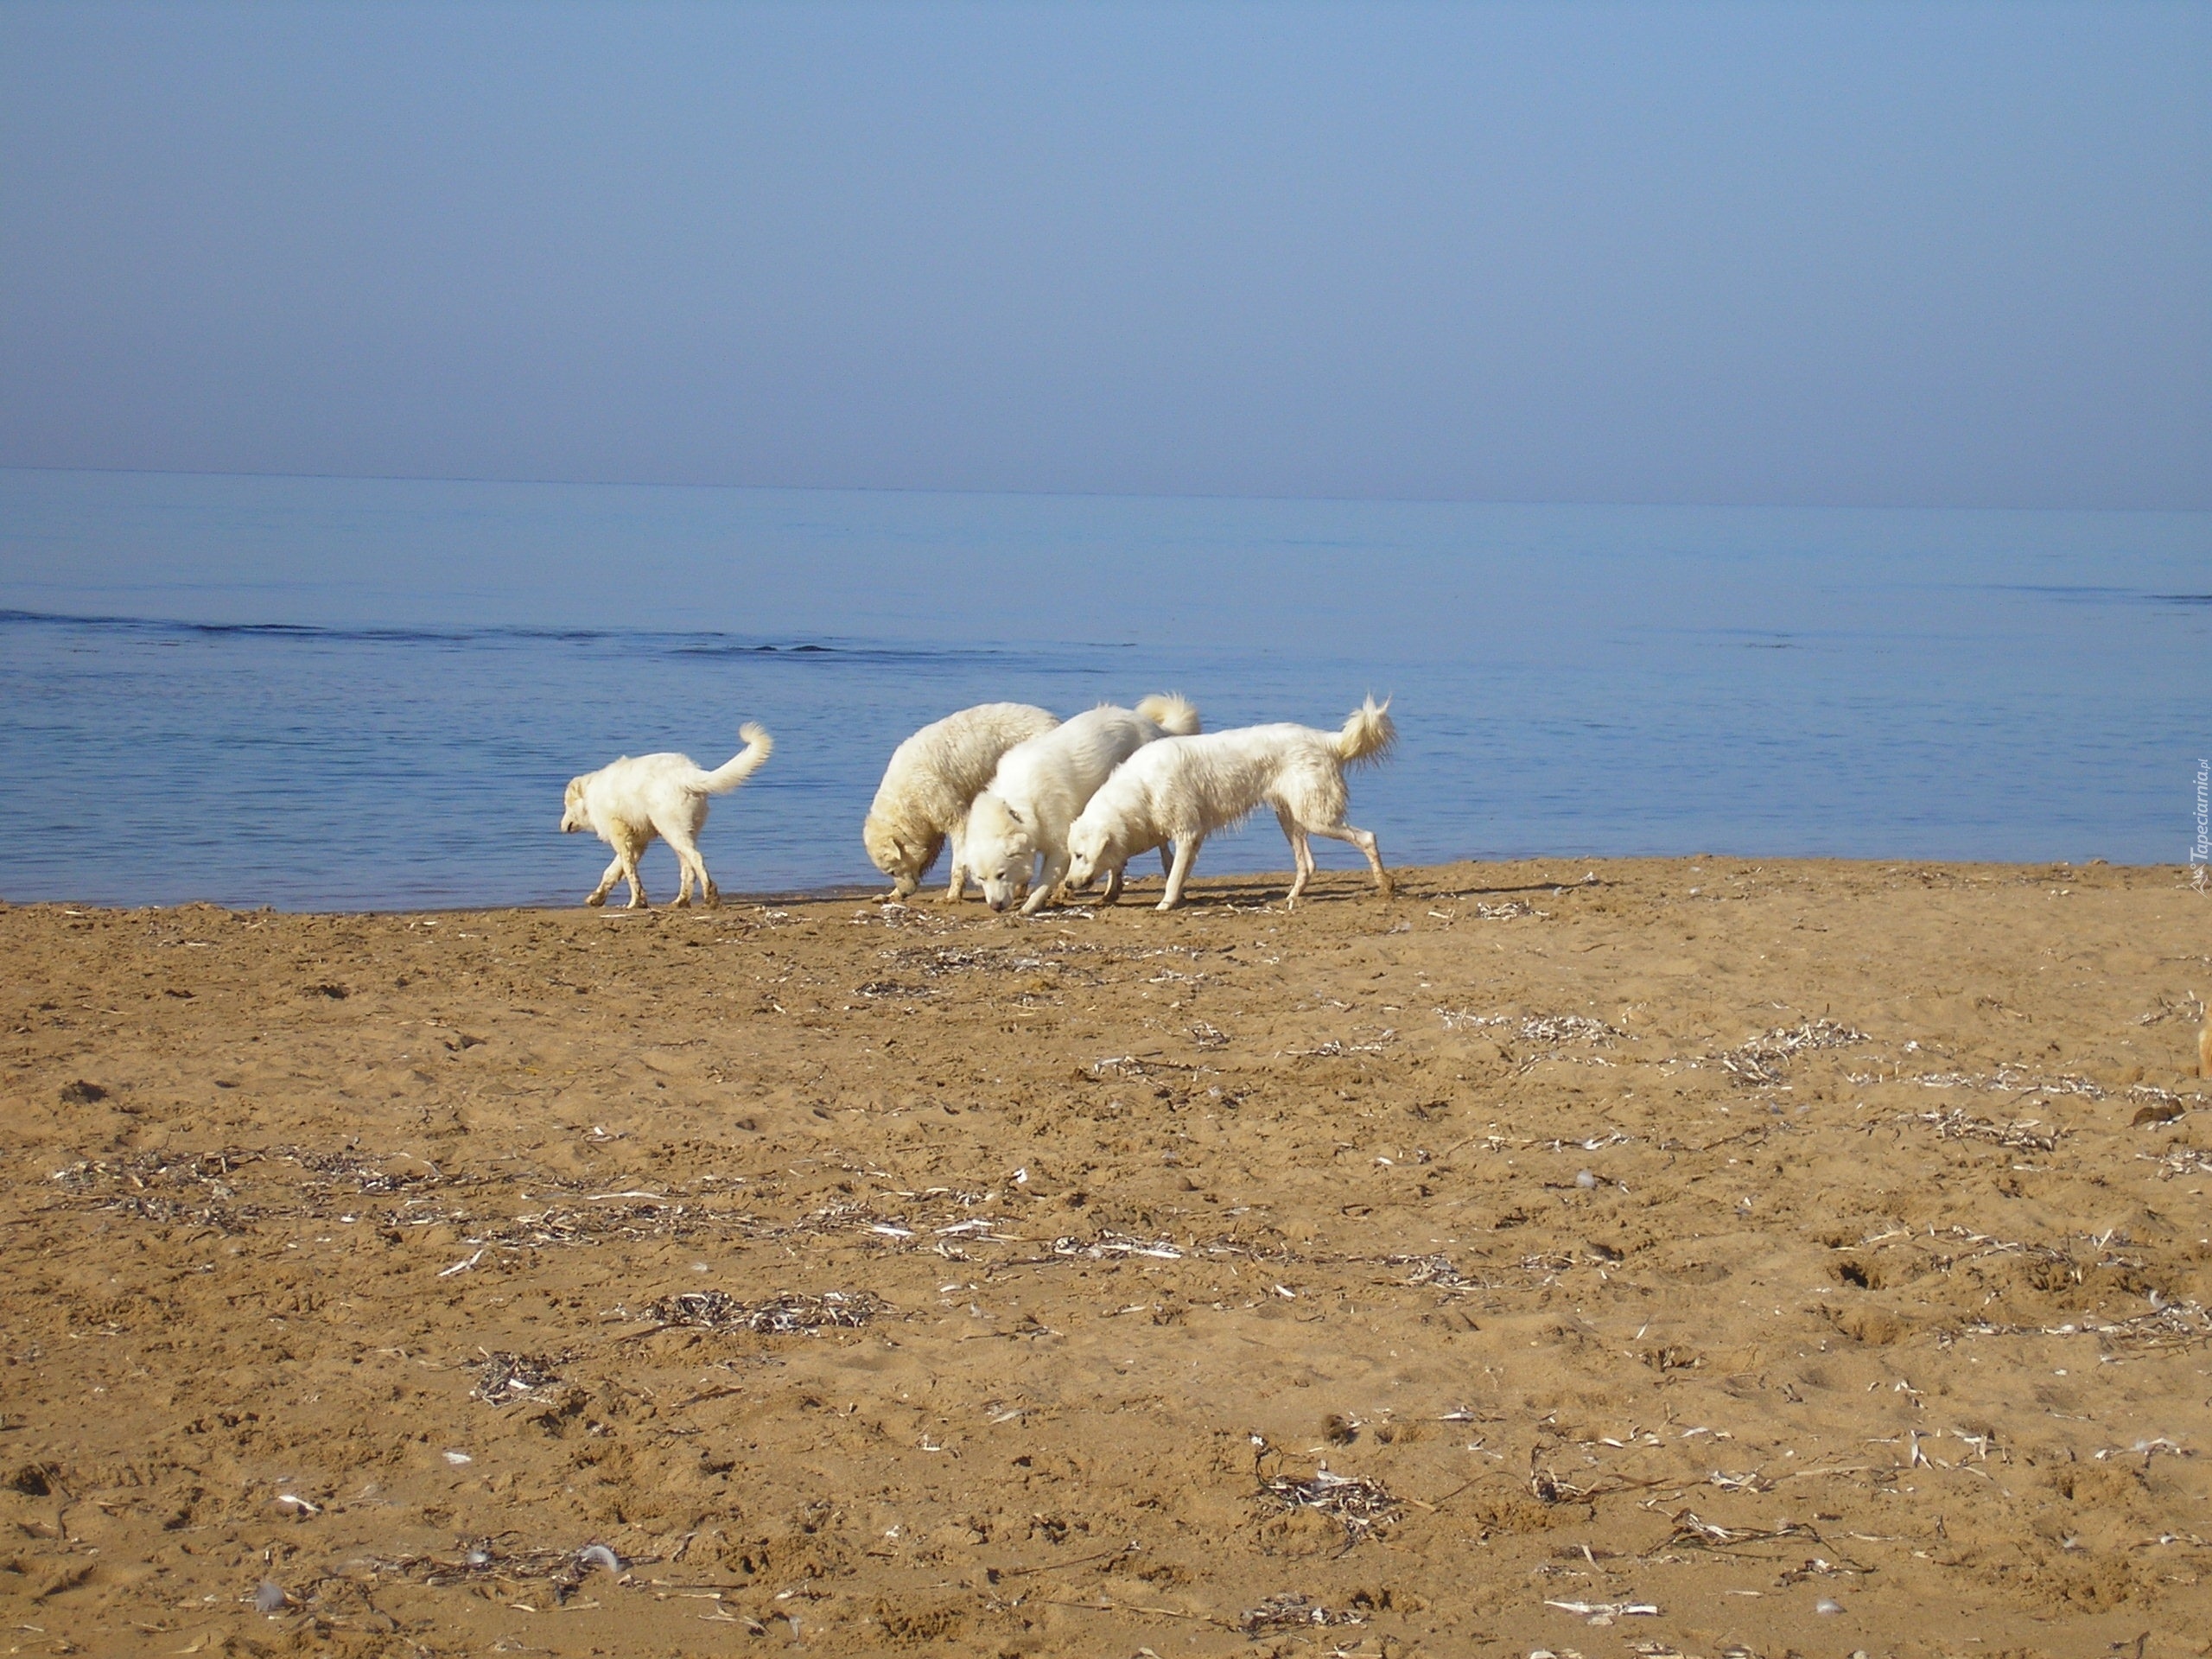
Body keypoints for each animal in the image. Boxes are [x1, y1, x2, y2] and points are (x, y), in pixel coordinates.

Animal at [557, 725, 774, 911]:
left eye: (566, 804)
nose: (562, 826)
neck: (591, 795)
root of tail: (686, 774)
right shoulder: (637, 842)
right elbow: (613, 871)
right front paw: (597, 897)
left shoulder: (622, 837)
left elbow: (629, 871)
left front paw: (636, 902)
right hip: (683, 832)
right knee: (688, 868)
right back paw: (682, 901)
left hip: (671, 829)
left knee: (696, 859)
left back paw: (710, 896)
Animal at [862, 708, 1061, 902]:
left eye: (892, 871)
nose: (905, 894)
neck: (907, 801)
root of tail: (1056, 722)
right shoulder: (931, 828)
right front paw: (892, 894)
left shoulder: (953, 814)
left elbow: (958, 861)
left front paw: (952, 895)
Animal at [969, 694, 1203, 915]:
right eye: (981, 879)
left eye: (1001, 874)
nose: (995, 906)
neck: (1014, 805)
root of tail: (1154, 725)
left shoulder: (1060, 848)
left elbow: (1044, 883)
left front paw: (1030, 906)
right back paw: (1111, 894)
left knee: (1162, 851)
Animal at [1061, 698, 1389, 915]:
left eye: (1079, 855)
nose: (1068, 885)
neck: (1142, 788)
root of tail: (1326, 740)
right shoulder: (1183, 836)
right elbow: (1175, 870)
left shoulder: (1189, 832)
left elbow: (1174, 876)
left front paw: (1166, 903)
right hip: (1290, 818)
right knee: (1307, 864)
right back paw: (1292, 897)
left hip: (1316, 817)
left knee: (1368, 838)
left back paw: (1385, 884)